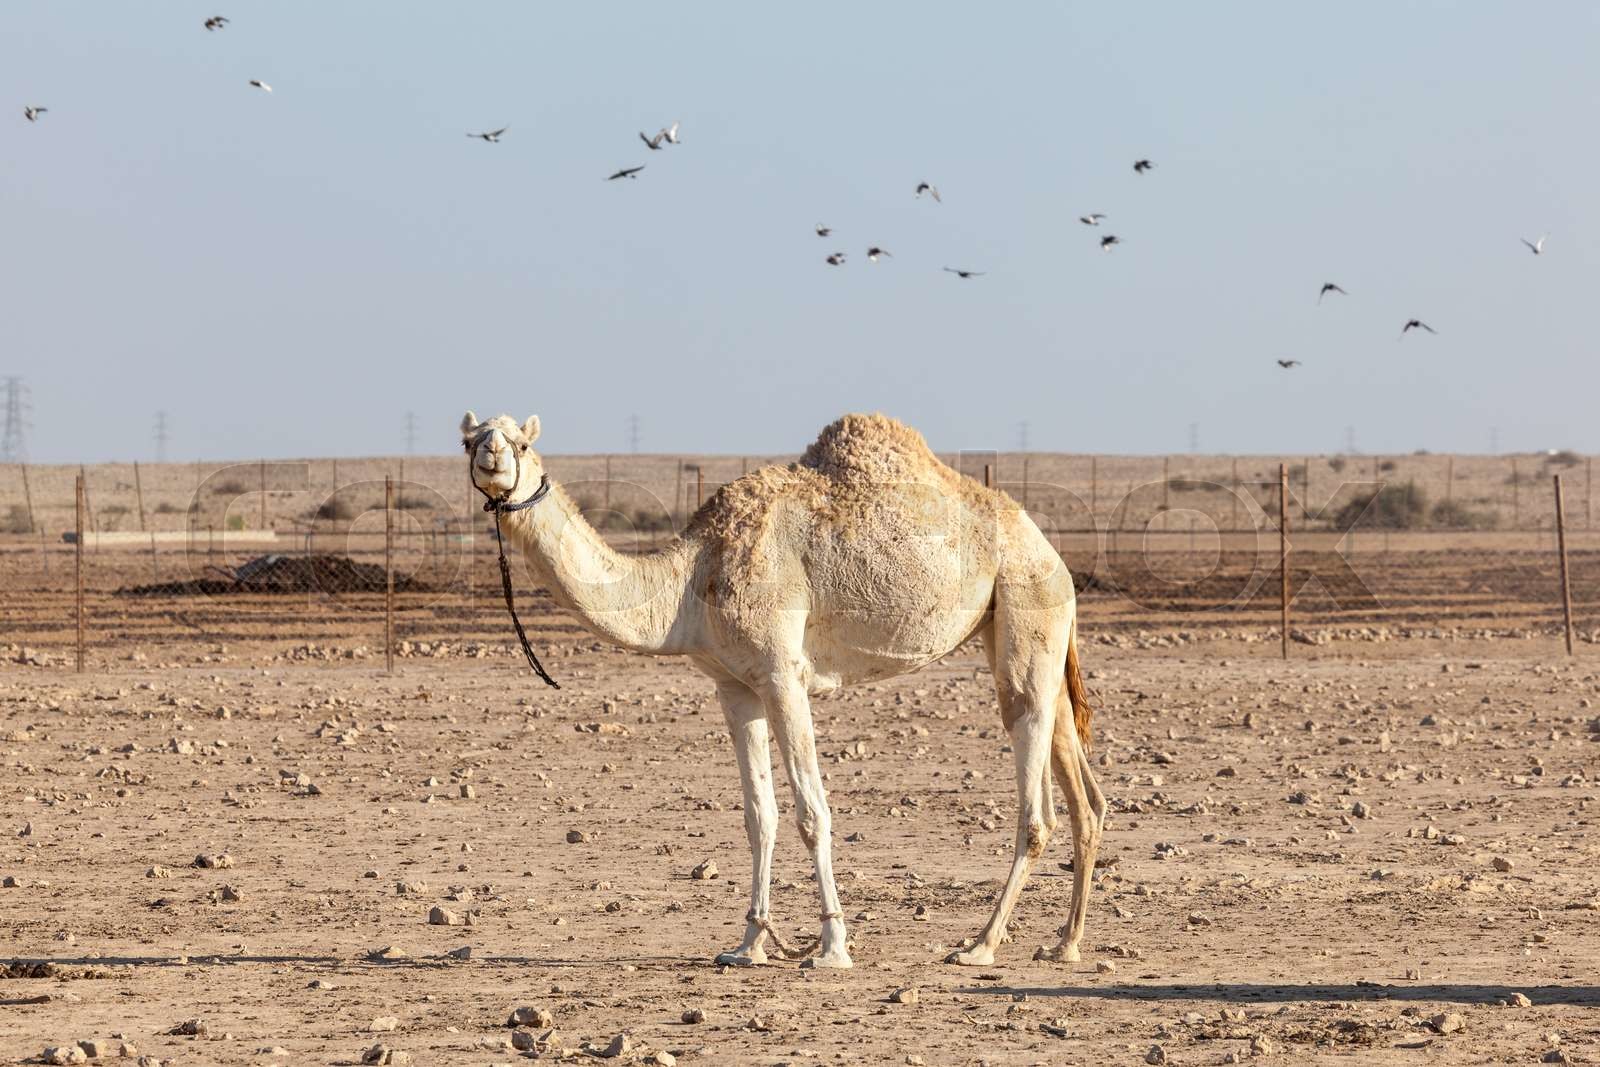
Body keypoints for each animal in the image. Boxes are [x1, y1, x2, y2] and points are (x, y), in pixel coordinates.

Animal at [460, 410, 1106, 968]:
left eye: (522, 443)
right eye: (469, 440)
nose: (492, 454)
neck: (692, 580)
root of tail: (1052, 553)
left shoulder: (781, 672)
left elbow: (811, 813)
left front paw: (832, 947)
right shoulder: (734, 686)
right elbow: (759, 815)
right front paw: (749, 943)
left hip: (1024, 600)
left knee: (1036, 802)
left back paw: (980, 944)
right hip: (1022, 630)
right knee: (1082, 790)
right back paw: (1064, 944)